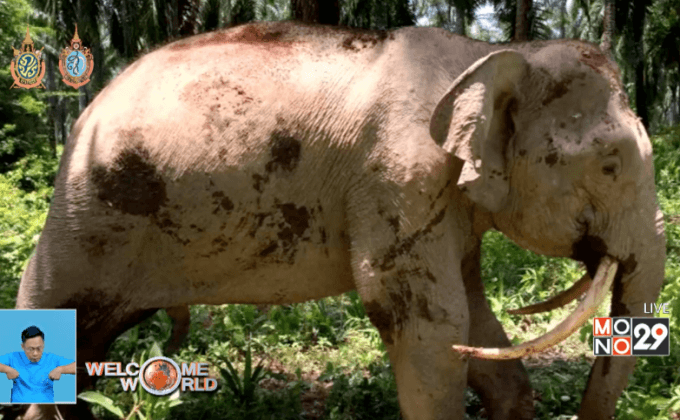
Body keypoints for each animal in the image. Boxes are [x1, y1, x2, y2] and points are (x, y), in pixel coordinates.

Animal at [14, 21, 664, 420]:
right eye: (610, 165)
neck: (497, 52)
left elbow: (472, 320)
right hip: (85, 217)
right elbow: (425, 322)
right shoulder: (397, 176)